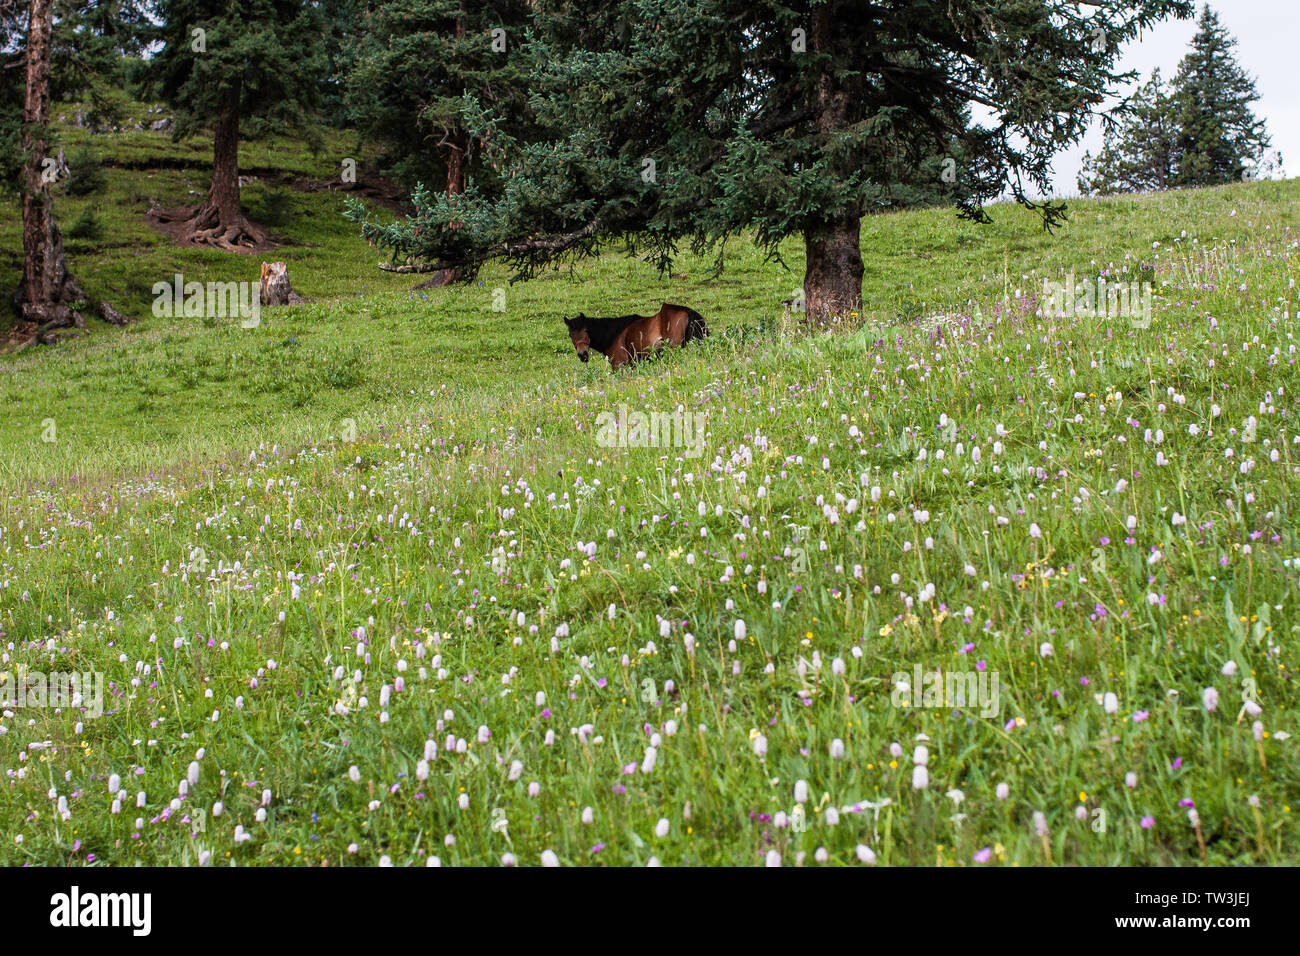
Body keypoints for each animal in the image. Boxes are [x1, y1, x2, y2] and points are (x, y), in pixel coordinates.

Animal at [561, 303, 707, 369]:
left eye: (586, 330)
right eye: (570, 334)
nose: (583, 355)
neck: (614, 335)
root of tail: (687, 311)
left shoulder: (619, 365)